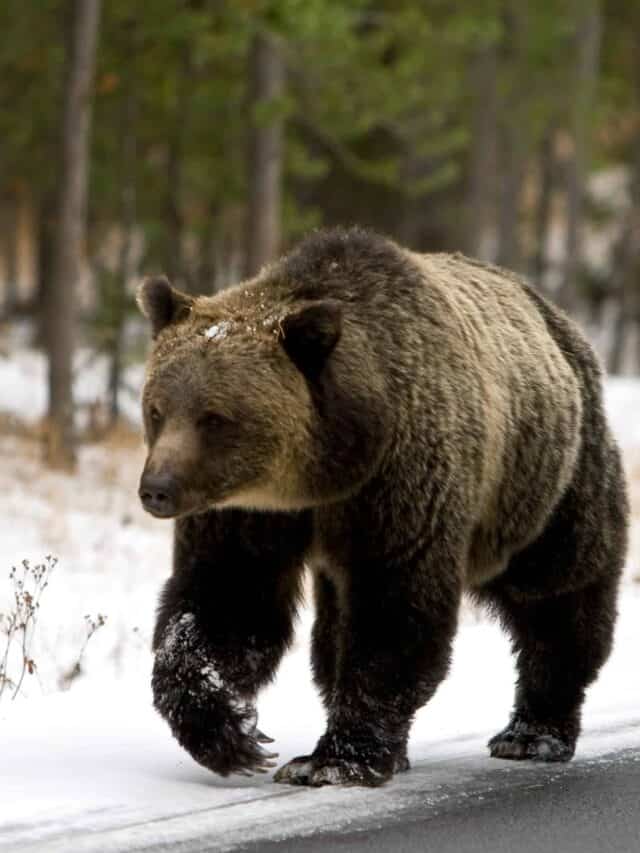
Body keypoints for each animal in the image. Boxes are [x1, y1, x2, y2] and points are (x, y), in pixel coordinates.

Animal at [137, 226, 628, 787]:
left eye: (215, 418)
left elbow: (393, 608)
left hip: (544, 480)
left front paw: (335, 758)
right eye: (157, 409)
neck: (325, 473)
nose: (157, 489)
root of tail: (561, 321)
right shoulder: (249, 513)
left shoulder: (398, 484)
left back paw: (533, 733)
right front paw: (231, 733)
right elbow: (227, 599)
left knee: (559, 594)